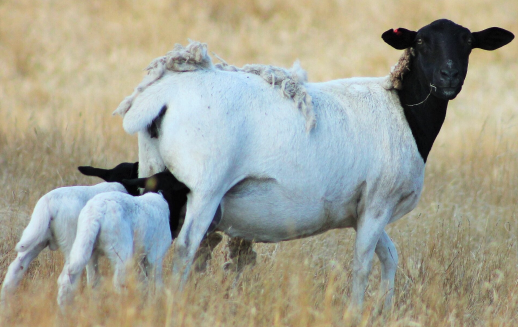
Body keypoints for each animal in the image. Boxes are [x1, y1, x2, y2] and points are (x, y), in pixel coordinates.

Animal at [57, 170, 187, 308]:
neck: (159, 195)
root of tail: (97, 213)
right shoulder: (155, 255)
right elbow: (156, 283)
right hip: (121, 253)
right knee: (117, 283)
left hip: (85, 246)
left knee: (79, 279)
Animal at [114, 18, 516, 312]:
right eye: (420, 43)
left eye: (467, 42)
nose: (450, 76)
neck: (402, 110)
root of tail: (162, 97)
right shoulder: (379, 201)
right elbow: (363, 264)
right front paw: (356, 313)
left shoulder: (365, 207)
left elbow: (390, 257)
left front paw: (383, 310)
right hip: (205, 186)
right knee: (184, 250)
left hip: (156, 176)